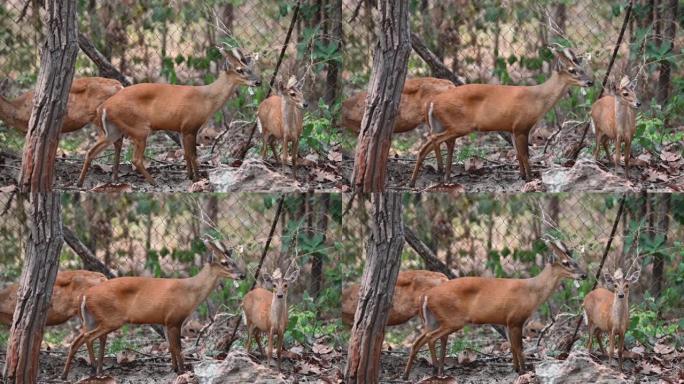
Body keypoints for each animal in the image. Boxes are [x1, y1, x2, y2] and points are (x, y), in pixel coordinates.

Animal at [60, 238, 244, 380]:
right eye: (225, 263)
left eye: (234, 261)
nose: (243, 275)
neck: (190, 292)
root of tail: (85, 295)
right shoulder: (174, 319)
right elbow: (178, 347)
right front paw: (182, 371)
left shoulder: (165, 321)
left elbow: (170, 346)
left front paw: (174, 369)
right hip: (111, 319)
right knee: (87, 337)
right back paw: (93, 371)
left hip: (91, 319)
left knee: (77, 340)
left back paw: (67, 374)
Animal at [76, 48, 260, 186]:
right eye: (240, 70)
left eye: (251, 69)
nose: (258, 82)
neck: (207, 100)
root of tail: (104, 106)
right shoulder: (190, 126)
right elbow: (193, 154)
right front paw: (198, 178)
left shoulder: (181, 129)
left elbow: (186, 154)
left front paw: (189, 176)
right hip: (139, 128)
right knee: (136, 159)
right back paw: (153, 182)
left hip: (113, 130)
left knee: (90, 151)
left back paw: (80, 183)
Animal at [400, 237, 588, 378]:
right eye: (566, 262)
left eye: (575, 260)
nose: (584, 275)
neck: (532, 292)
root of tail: (426, 295)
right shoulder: (516, 319)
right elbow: (519, 347)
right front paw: (524, 371)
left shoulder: (506, 322)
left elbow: (512, 346)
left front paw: (516, 369)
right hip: (452, 320)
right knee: (430, 338)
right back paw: (435, 371)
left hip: (433, 320)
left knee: (417, 341)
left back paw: (408, 374)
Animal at [412, 48, 592, 186]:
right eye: (572, 70)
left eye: (583, 69)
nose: (590, 82)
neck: (538, 100)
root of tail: (432, 102)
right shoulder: (522, 126)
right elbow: (525, 154)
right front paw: (530, 178)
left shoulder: (512, 128)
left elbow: (518, 154)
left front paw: (522, 176)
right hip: (459, 125)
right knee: (429, 143)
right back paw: (420, 179)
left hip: (443, 125)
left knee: (433, 144)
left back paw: (439, 179)